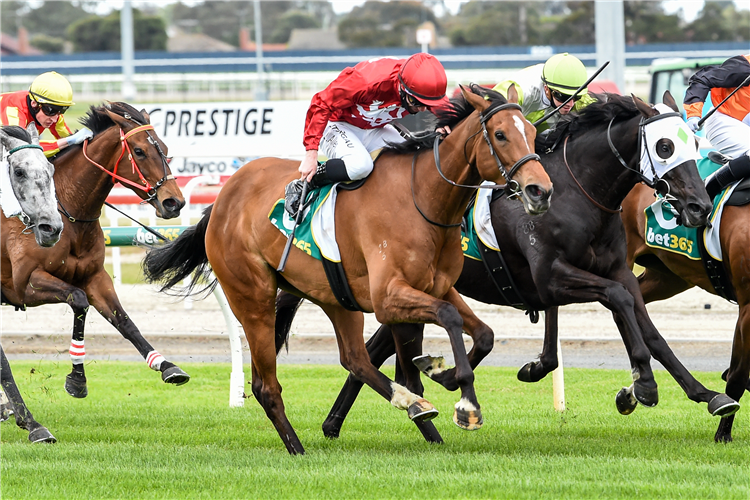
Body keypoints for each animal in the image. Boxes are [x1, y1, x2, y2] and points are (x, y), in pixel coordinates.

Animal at [0, 100, 188, 442]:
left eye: (165, 149)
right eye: (139, 151)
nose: (174, 202)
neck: (68, 214)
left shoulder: (95, 277)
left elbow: (124, 322)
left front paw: (167, 365)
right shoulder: (27, 284)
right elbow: (78, 300)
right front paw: (77, 380)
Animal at [142, 85, 552, 454]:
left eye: (533, 133)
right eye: (500, 134)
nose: (540, 190)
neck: (422, 199)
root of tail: (222, 199)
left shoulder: (437, 287)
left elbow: (483, 334)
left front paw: (442, 374)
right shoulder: (389, 297)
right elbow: (450, 319)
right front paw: (465, 402)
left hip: (337, 298)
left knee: (355, 359)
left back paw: (414, 408)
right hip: (252, 297)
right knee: (266, 385)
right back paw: (297, 448)